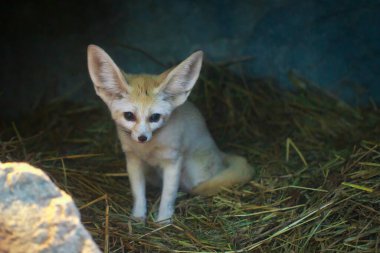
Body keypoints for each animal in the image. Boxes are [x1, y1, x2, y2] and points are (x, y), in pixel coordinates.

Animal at [87, 45, 254, 223]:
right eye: (129, 116)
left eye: (155, 117)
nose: (142, 138)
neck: (147, 150)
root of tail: (219, 152)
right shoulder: (133, 160)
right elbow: (138, 193)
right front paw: (138, 217)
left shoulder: (173, 161)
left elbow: (168, 195)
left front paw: (163, 221)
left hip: (192, 174)